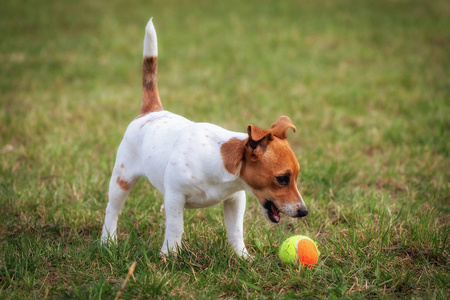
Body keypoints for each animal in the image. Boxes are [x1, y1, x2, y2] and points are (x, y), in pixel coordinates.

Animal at [101, 18, 310, 258]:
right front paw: (169, 257)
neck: (221, 162)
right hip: (122, 179)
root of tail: (151, 110)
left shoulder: (235, 199)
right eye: (282, 179)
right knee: (112, 210)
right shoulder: (174, 197)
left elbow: (235, 231)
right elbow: (175, 228)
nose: (304, 211)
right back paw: (107, 241)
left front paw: (243, 257)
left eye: (295, 177)